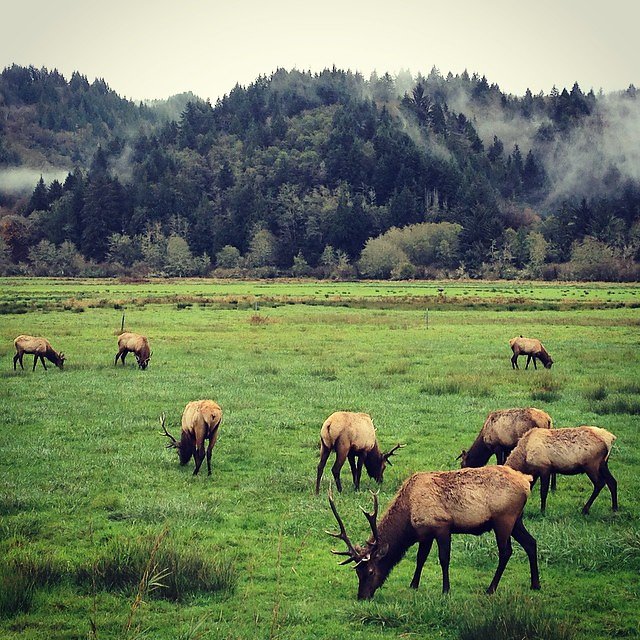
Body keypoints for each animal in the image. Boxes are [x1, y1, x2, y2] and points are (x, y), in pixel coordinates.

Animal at [328, 464, 544, 600]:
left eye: (370, 571)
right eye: (358, 572)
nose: (362, 596)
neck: (409, 513)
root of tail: (526, 480)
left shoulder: (441, 526)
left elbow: (444, 558)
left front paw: (446, 589)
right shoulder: (425, 533)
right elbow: (420, 558)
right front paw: (413, 585)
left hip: (504, 519)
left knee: (506, 551)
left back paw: (491, 589)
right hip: (517, 520)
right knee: (531, 543)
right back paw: (535, 584)